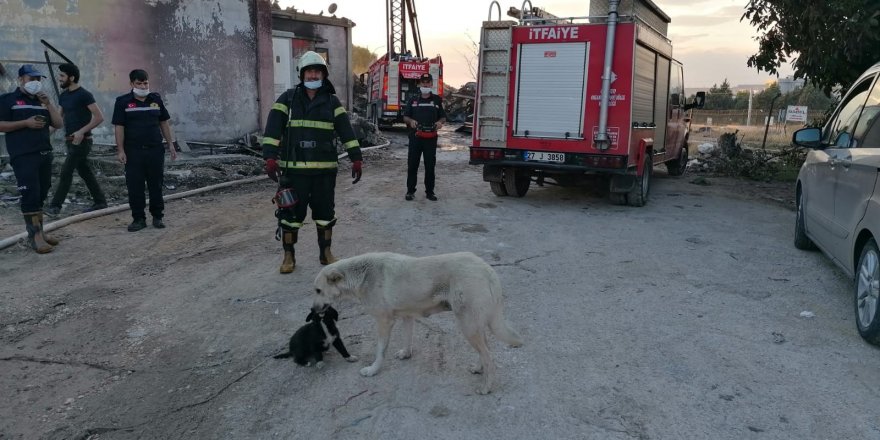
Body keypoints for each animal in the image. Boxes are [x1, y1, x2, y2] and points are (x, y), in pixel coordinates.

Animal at [312, 251, 524, 396]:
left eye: (318, 290)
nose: (313, 310)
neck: (363, 275)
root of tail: (487, 269)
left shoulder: (384, 322)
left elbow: (380, 350)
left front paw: (373, 370)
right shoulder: (407, 316)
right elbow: (408, 338)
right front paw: (406, 354)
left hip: (468, 326)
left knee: (489, 357)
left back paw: (486, 386)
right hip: (475, 325)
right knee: (485, 351)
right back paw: (479, 369)